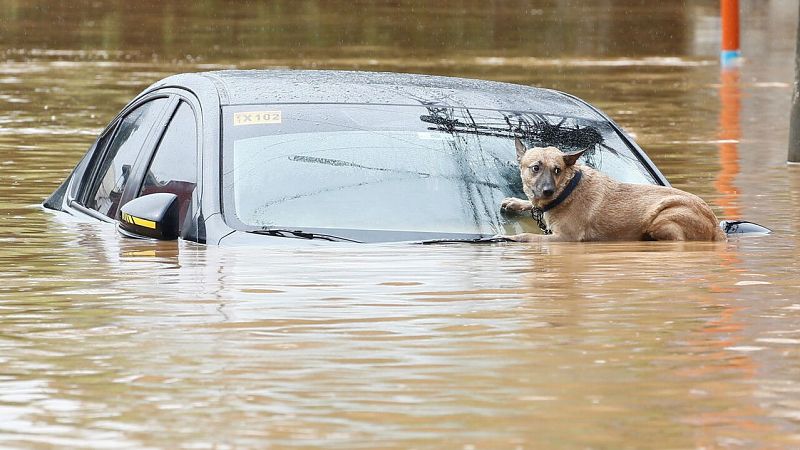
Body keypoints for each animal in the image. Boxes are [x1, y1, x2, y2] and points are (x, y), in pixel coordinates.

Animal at [500, 138, 724, 241]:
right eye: (535, 168)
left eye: (557, 170)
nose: (547, 191)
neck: (567, 190)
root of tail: (715, 226)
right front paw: (516, 202)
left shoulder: (564, 238)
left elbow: (530, 237)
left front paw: (511, 237)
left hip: (661, 219)